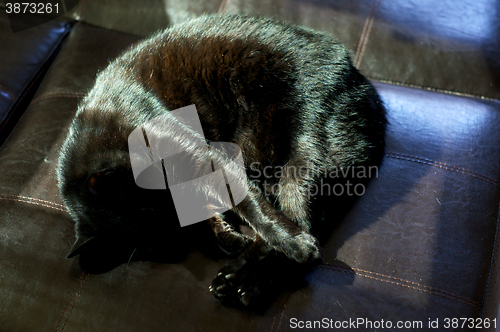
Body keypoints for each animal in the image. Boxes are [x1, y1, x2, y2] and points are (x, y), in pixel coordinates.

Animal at [57, 13, 386, 308]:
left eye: (157, 207)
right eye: (158, 233)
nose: (177, 239)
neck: (106, 130)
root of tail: (359, 77)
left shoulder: (206, 156)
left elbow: (252, 208)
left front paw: (290, 243)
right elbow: (214, 215)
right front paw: (228, 239)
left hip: (303, 159)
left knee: (304, 226)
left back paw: (255, 275)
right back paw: (237, 280)